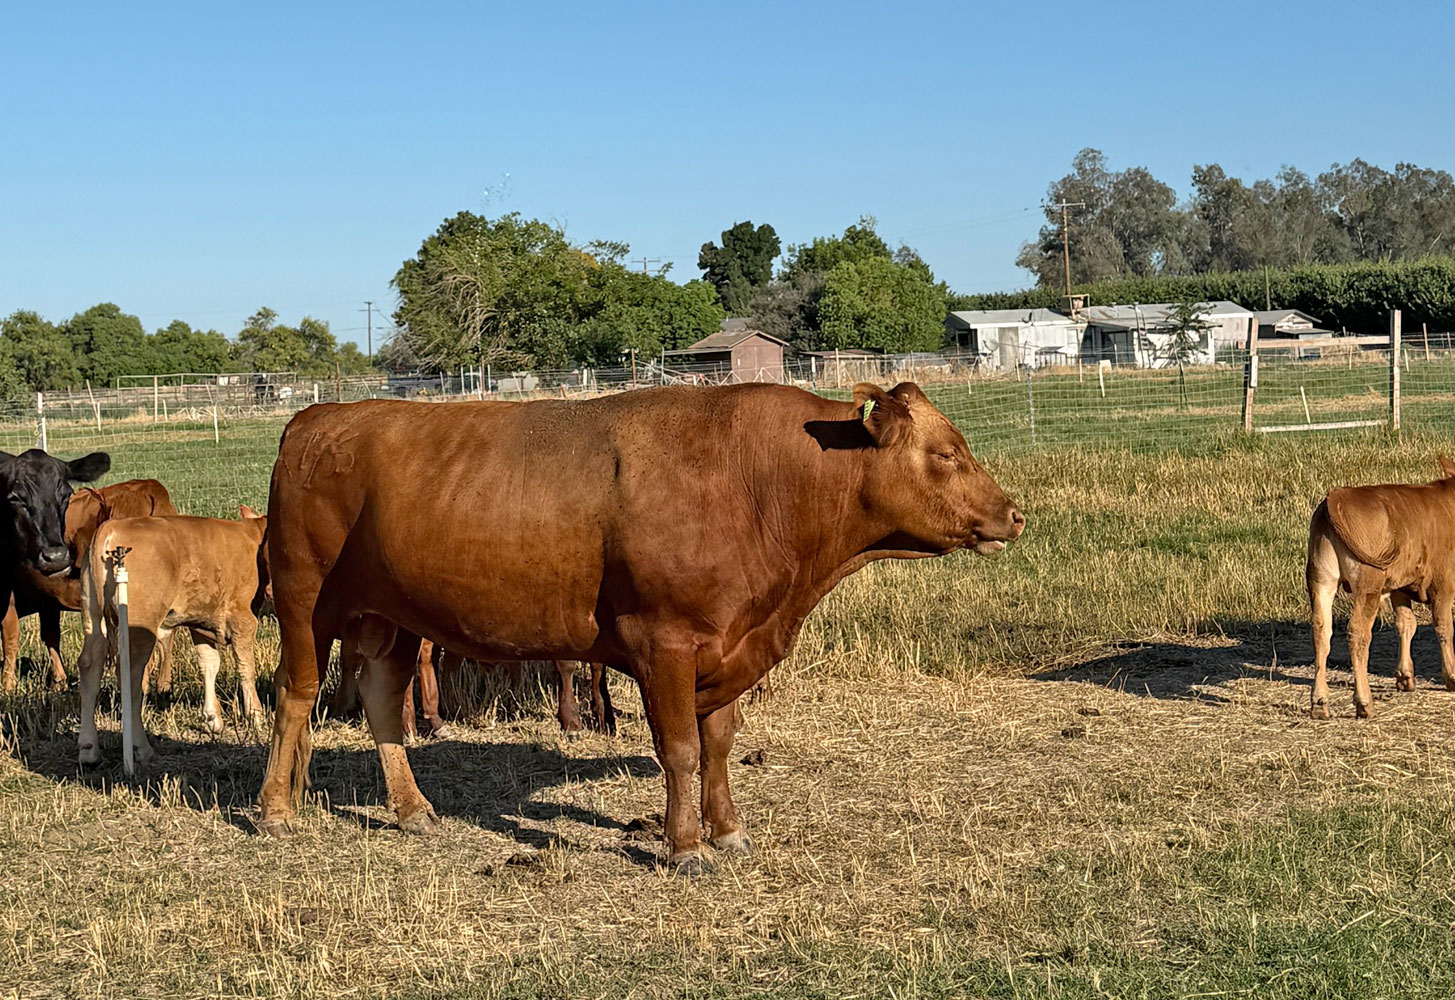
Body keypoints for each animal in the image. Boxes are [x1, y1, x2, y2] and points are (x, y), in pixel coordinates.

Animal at [0, 479, 176, 693]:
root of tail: (150, 487)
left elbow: (10, 641)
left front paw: (7, 686)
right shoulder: (48, 600)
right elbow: (51, 636)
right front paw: (59, 682)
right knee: (166, 637)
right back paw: (163, 687)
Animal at [77, 506, 270, 766]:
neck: (252, 536)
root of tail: (111, 527)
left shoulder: (200, 623)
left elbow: (209, 663)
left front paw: (213, 719)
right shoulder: (243, 619)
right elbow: (246, 667)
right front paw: (256, 716)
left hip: (93, 616)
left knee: (90, 665)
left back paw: (89, 750)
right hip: (140, 624)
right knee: (131, 678)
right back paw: (141, 747)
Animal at [254, 382, 1024, 872]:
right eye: (946, 453)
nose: (1013, 515)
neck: (757, 480)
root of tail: (317, 419)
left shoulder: (728, 648)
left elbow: (718, 745)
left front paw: (728, 831)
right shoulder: (667, 644)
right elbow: (679, 750)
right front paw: (686, 849)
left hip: (390, 616)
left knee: (383, 701)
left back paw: (411, 809)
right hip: (304, 601)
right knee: (295, 697)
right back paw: (276, 809)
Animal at [1307, 456, 1455, 720]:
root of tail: (1338, 495)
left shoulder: (1399, 587)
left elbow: (1406, 624)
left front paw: (1405, 677)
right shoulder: (1444, 583)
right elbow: (1444, 628)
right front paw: (1451, 677)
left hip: (1321, 580)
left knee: (1321, 631)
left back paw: (1320, 703)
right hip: (1368, 585)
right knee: (1358, 633)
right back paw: (1364, 702)